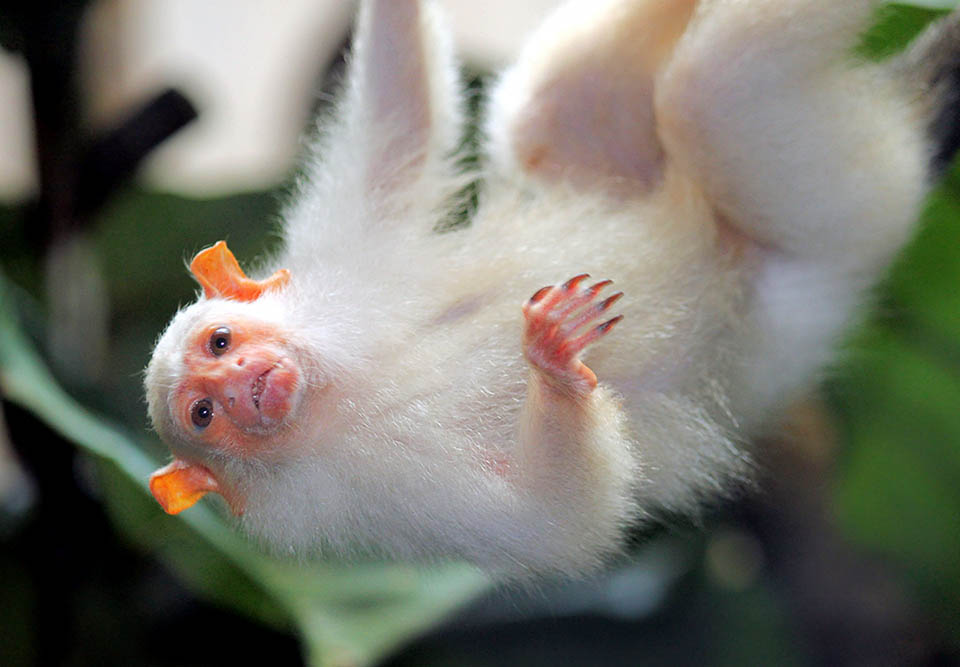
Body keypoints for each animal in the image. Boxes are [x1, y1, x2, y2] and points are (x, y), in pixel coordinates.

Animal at [142, 0, 960, 576]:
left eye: (221, 340)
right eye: (204, 413)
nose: (246, 385)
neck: (338, 384)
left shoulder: (339, 249)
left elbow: (402, 118)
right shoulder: (375, 510)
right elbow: (558, 518)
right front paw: (556, 368)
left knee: (550, 105)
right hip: (822, 246)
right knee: (714, 87)